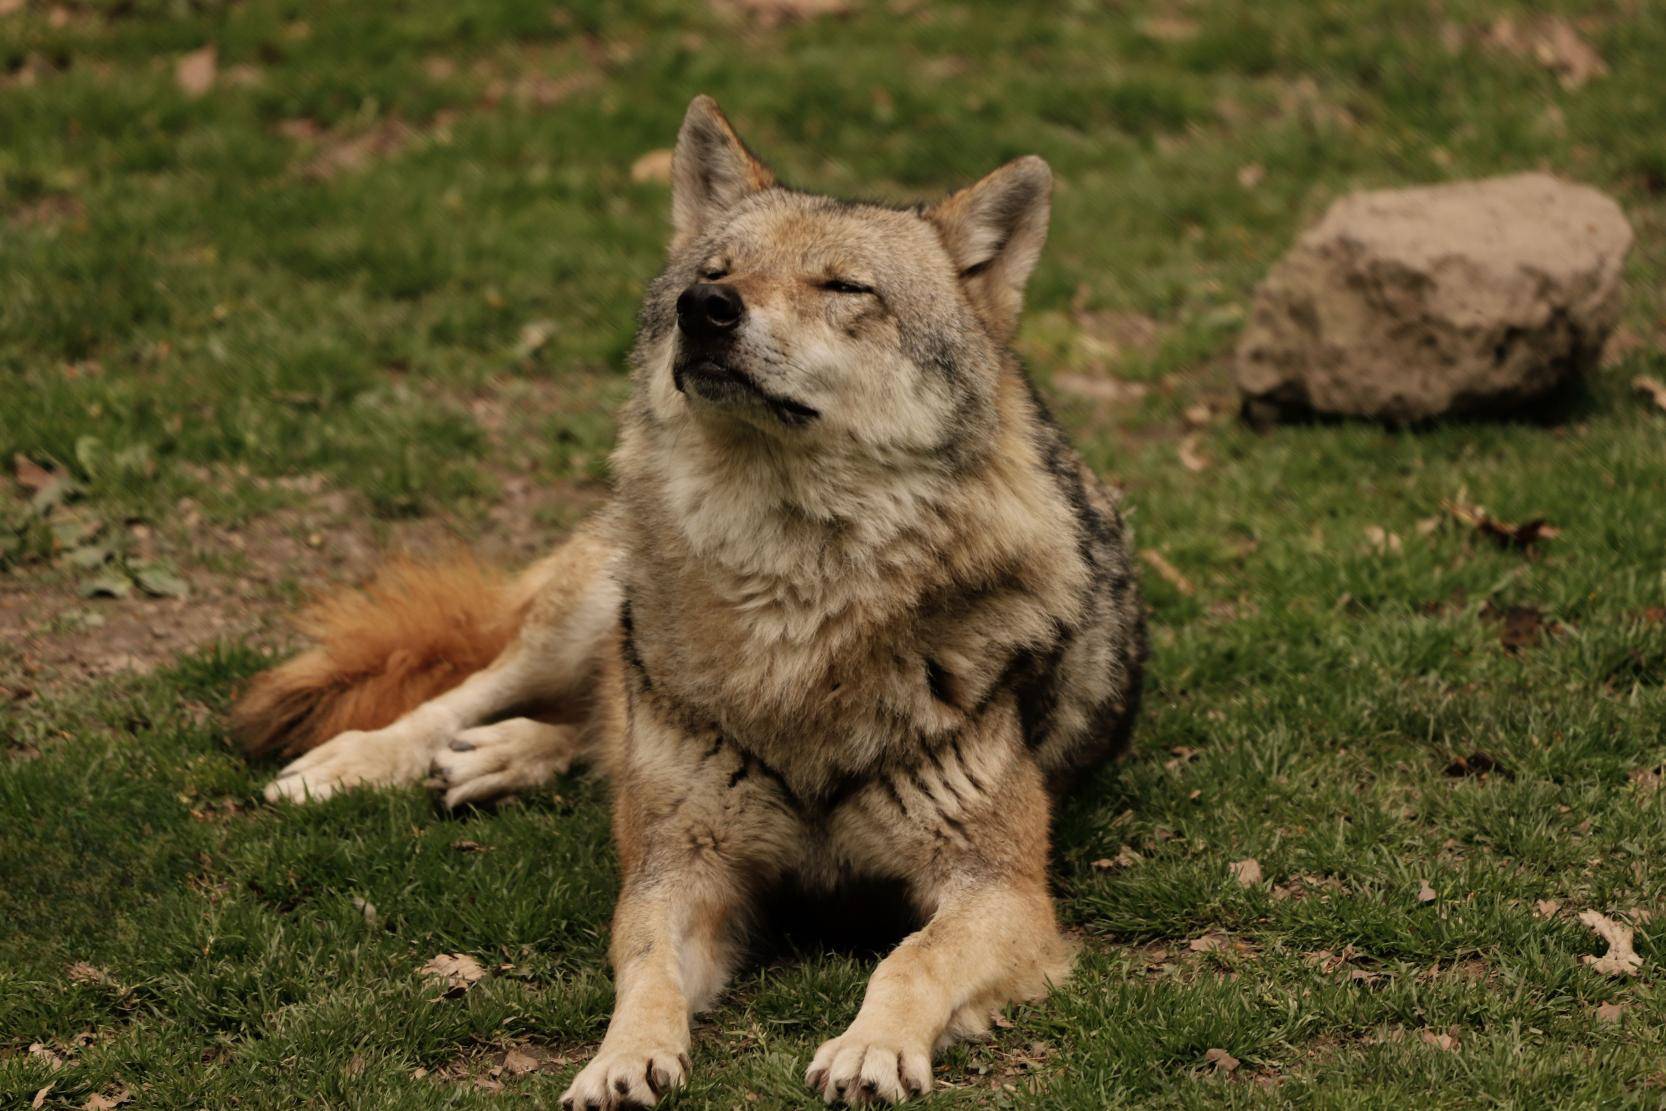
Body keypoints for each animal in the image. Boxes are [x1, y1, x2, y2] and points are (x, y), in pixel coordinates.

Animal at [235, 96, 1145, 1107]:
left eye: (845, 287)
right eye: (718, 272)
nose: (703, 310)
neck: (794, 601)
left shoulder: (1003, 890)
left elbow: (910, 958)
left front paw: (871, 1047)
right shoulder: (679, 872)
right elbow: (645, 969)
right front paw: (621, 1058)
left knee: (594, 731)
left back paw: (507, 756)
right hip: (593, 603)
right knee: (482, 694)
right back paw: (358, 762)